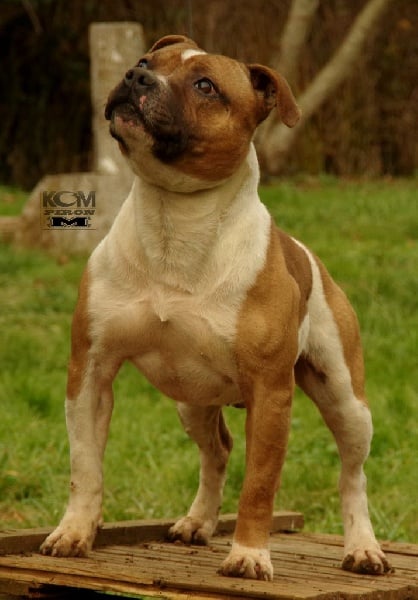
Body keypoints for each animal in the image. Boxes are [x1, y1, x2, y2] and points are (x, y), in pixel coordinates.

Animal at [41, 35, 391, 581]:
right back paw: (197, 522)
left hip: (346, 401)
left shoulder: (271, 394)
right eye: (145, 61)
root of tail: (308, 256)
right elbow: (86, 466)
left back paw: (363, 549)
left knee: (352, 476)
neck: (175, 221)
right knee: (218, 451)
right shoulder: (91, 373)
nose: (135, 78)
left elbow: (260, 485)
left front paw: (249, 555)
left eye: (206, 86)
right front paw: (74, 533)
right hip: (192, 400)